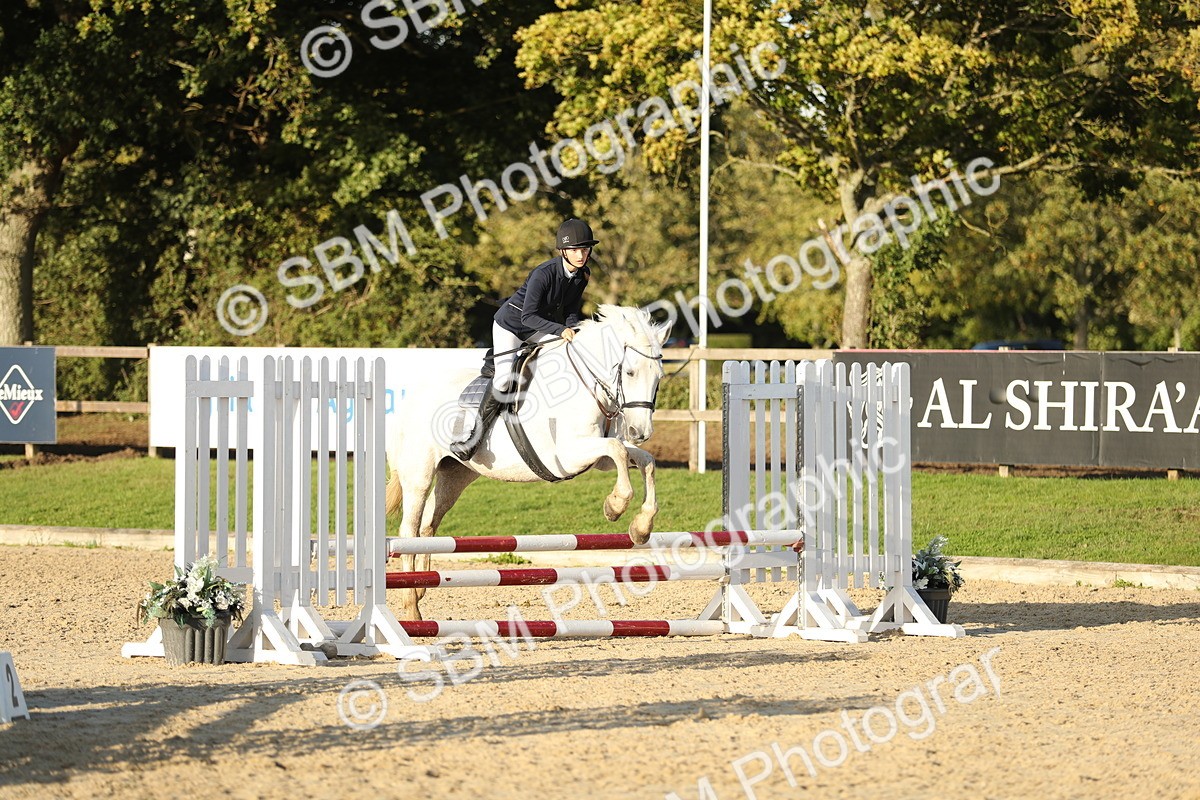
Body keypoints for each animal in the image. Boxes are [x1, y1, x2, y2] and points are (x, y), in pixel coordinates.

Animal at [384, 304, 671, 620]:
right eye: (630, 372)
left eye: (659, 377)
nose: (639, 432)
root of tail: (412, 398)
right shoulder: (568, 455)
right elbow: (617, 450)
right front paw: (615, 506)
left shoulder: (597, 459)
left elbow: (644, 460)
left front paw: (641, 527)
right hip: (419, 475)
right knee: (409, 530)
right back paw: (412, 609)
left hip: (455, 475)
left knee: (428, 524)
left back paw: (421, 588)